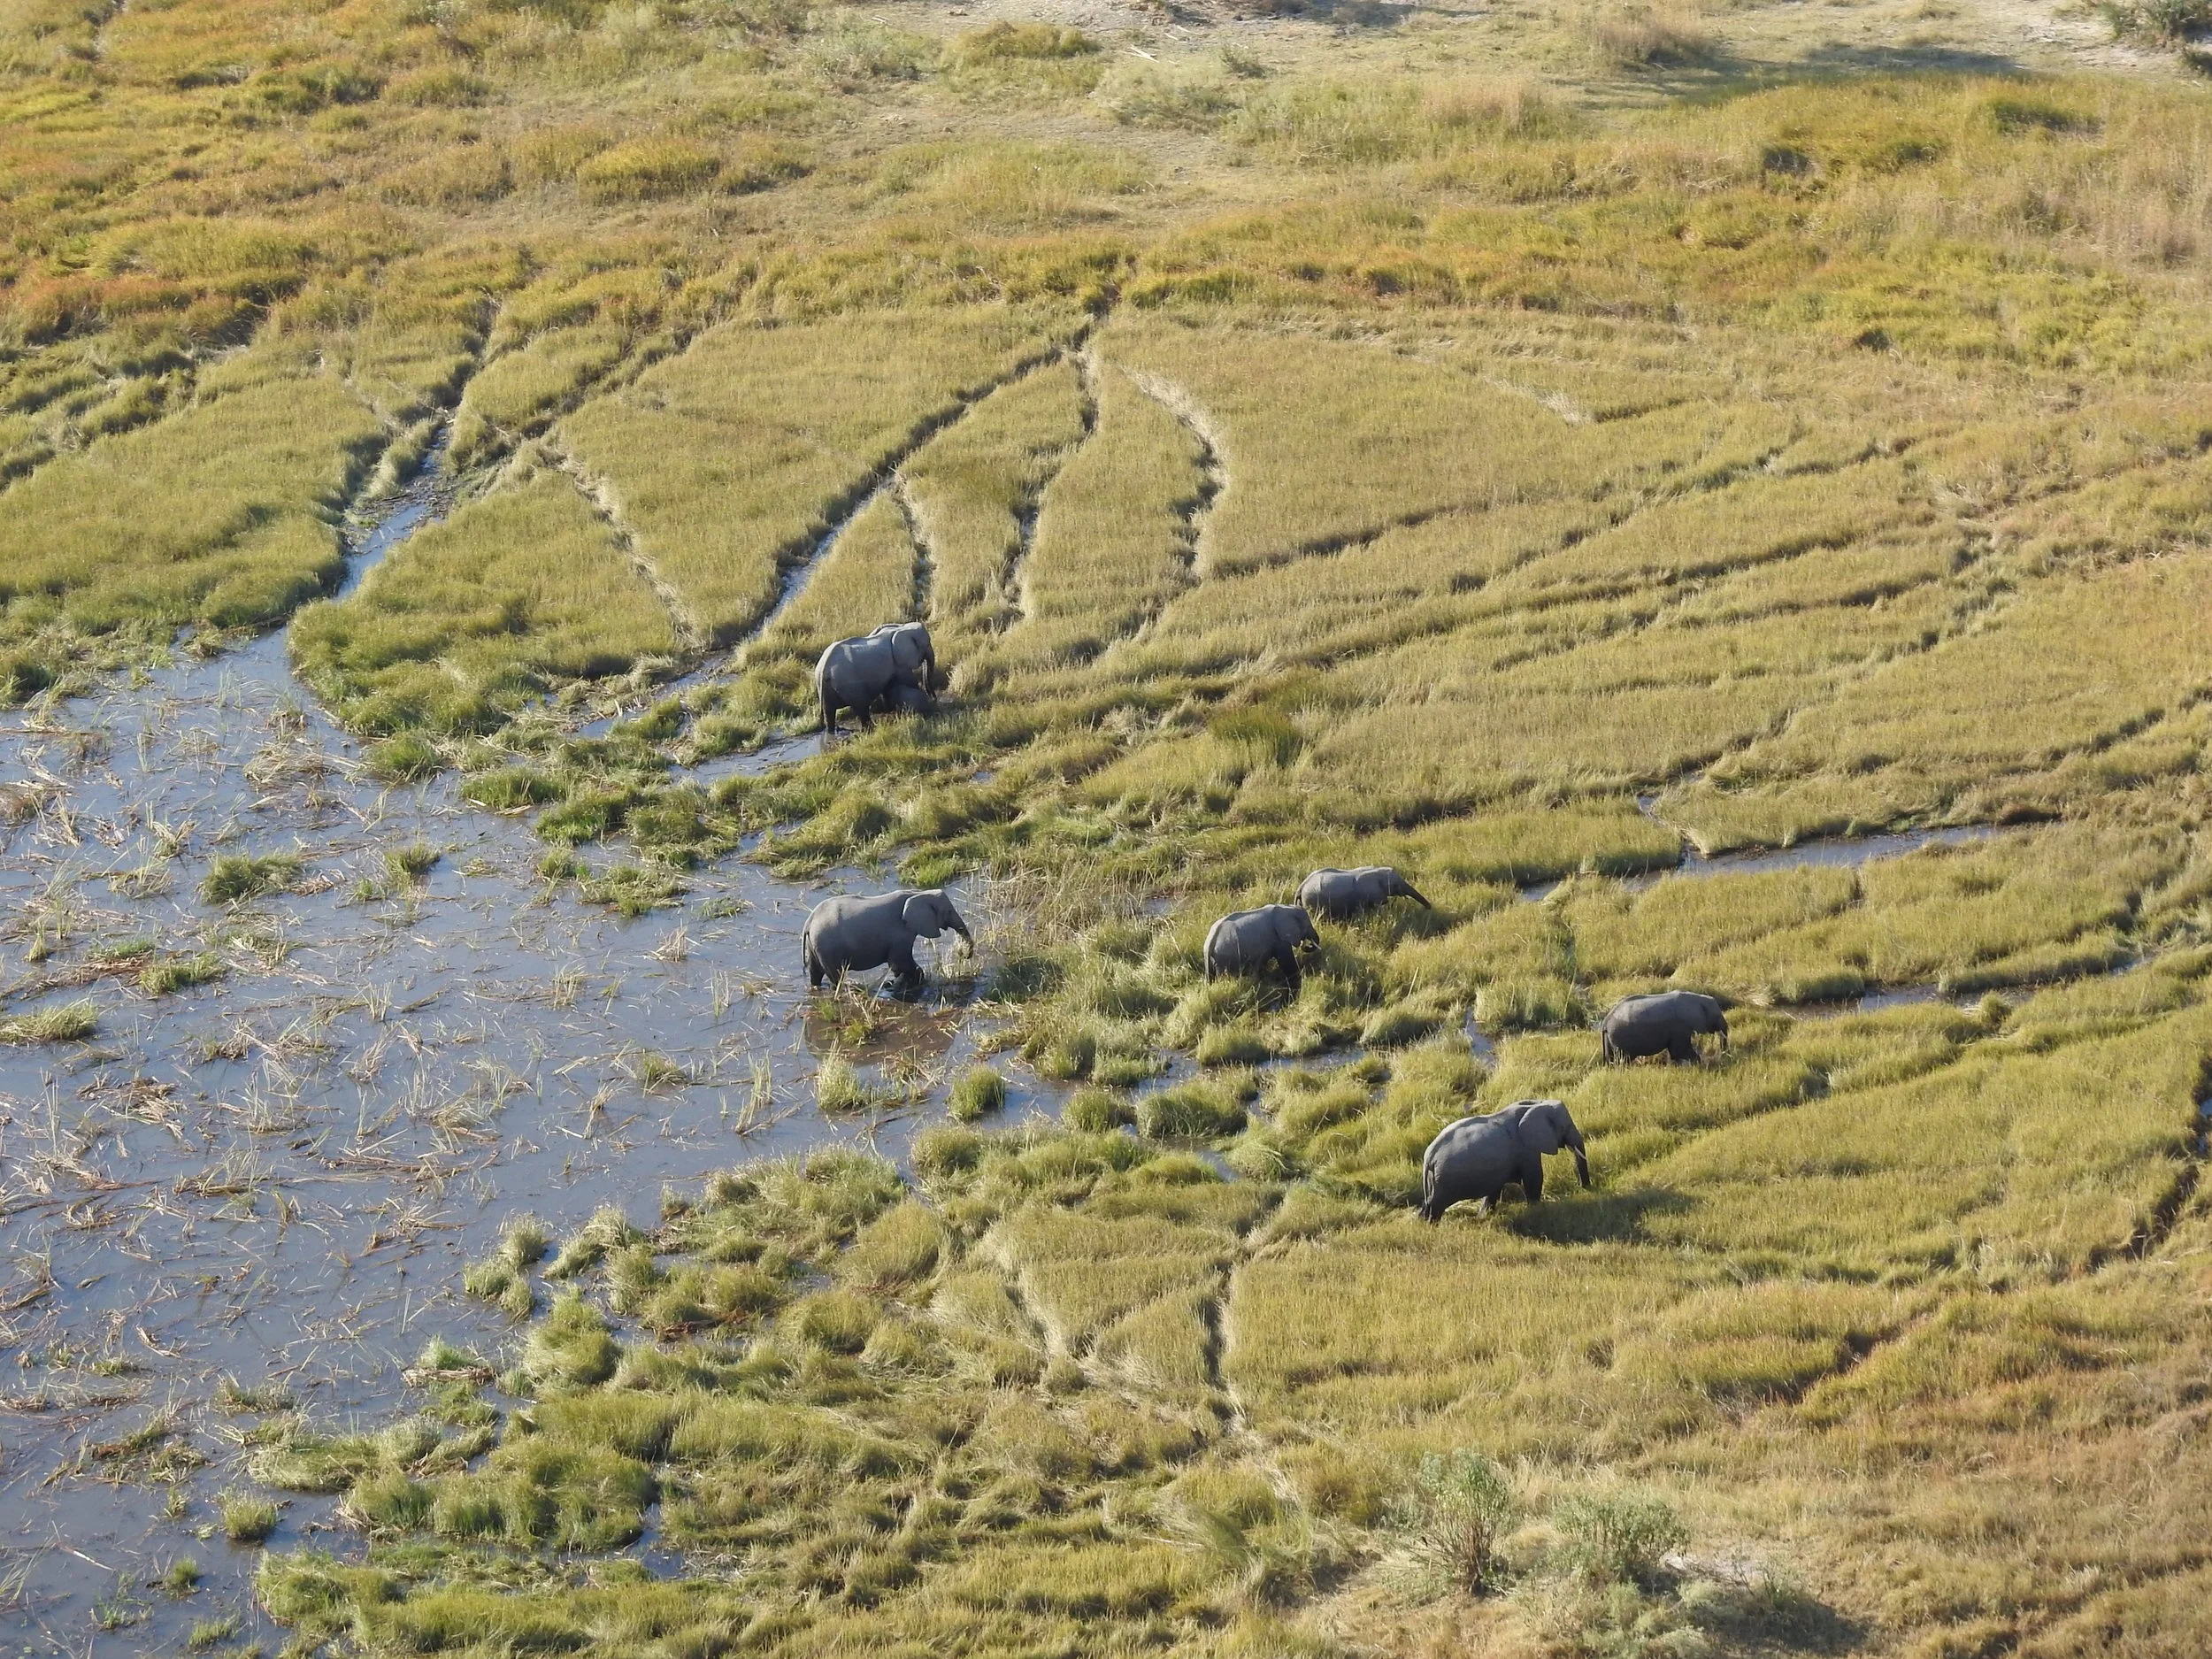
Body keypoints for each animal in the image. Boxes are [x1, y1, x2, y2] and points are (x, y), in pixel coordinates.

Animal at [803, 888, 972, 988]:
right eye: (949, 911)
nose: (964, 955)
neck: (916, 893)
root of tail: (809, 922)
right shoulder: (900, 934)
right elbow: (899, 962)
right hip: (827, 947)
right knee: (836, 976)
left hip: (816, 946)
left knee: (816, 972)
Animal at [815, 627, 934, 734]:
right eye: (927, 644)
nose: (933, 698)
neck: (902, 628)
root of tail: (824, 668)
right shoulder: (900, 663)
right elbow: (909, 682)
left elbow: (888, 688)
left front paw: (891, 710)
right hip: (849, 686)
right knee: (861, 706)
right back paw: (871, 728)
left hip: (826, 687)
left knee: (829, 712)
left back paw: (832, 731)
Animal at [1203, 903, 1321, 989]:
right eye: (1307, 925)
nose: (1306, 945)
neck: (1285, 908)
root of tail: (1210, 942)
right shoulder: (1278, 938)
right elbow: (1287, 961)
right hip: (1224, 958)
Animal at [1420, 1099, 1589, 1221]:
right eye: (1567, 1127)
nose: (1584, 1188)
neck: (1537, 1103)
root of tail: (1429, 1158)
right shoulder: (1525, 1149)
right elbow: (1534, 1179)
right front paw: (1536, 1210)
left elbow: (1495, 1189)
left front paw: (1483, 1216)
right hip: (1443, 1181)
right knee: (1436, 1206)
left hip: (1434, 1180)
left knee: (1428, 1204)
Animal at [1599, 990, 1729, 1064]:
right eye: (1717, 1016)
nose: (1723, 1055)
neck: (1697, 998)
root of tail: (1605, 1022)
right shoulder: (1679, 1026)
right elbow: (1679, 1050)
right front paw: (1698, 1064)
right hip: (1620, 1037)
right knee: (1623, 1059)